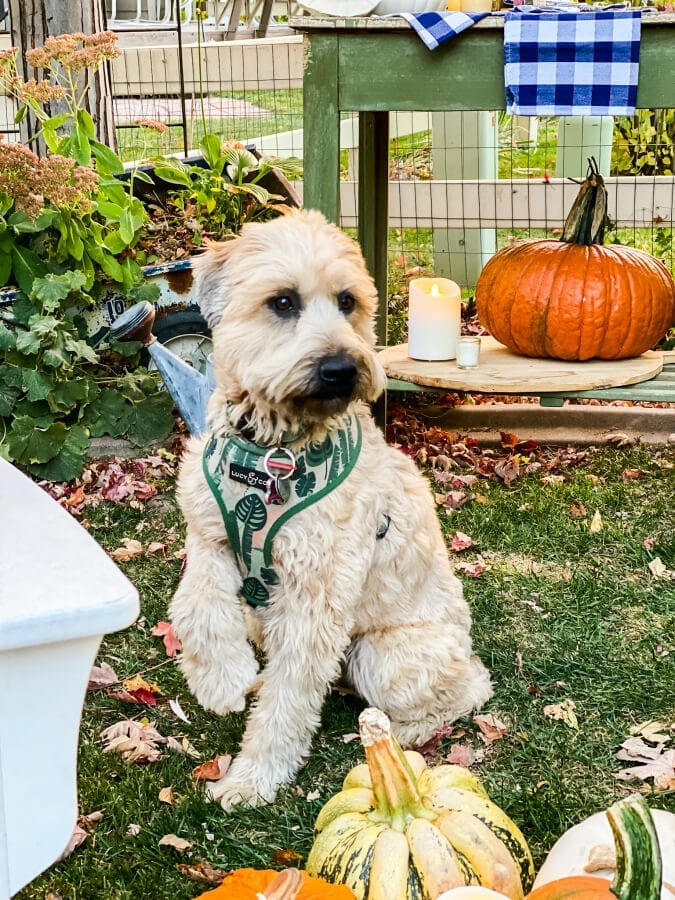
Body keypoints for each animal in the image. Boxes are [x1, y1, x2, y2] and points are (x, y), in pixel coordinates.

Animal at [169, 209, 492, 808]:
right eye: (282, 302)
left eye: (348, 301)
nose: (344, 368)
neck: (270, 456)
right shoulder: (208, 537)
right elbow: (195, 605)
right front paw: (221, 680)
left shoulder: (314, 598)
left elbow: (288, 700)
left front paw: (252, 777)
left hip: (385, 656)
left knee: (467, 690)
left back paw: (398, 735)